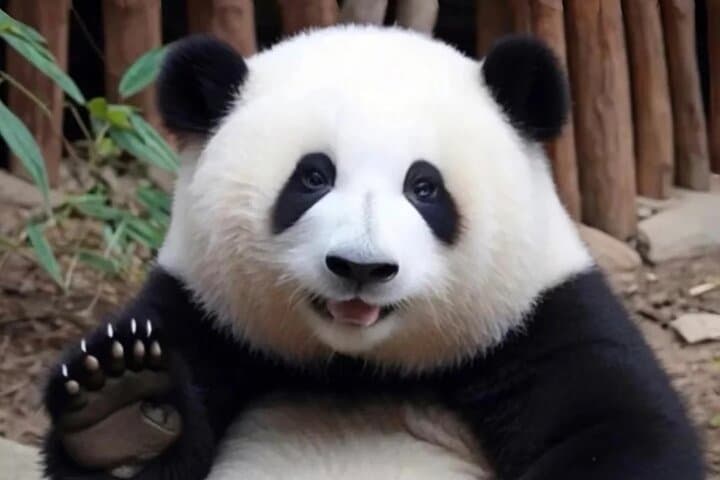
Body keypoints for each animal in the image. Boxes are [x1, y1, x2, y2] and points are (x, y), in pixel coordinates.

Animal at [42, 26, 702, 480]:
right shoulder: (203, 312)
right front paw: (124, 408)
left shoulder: (540, 319)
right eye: (312, 177)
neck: (356, 368)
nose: (361, 267)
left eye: (425, 187)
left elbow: (620, 430)